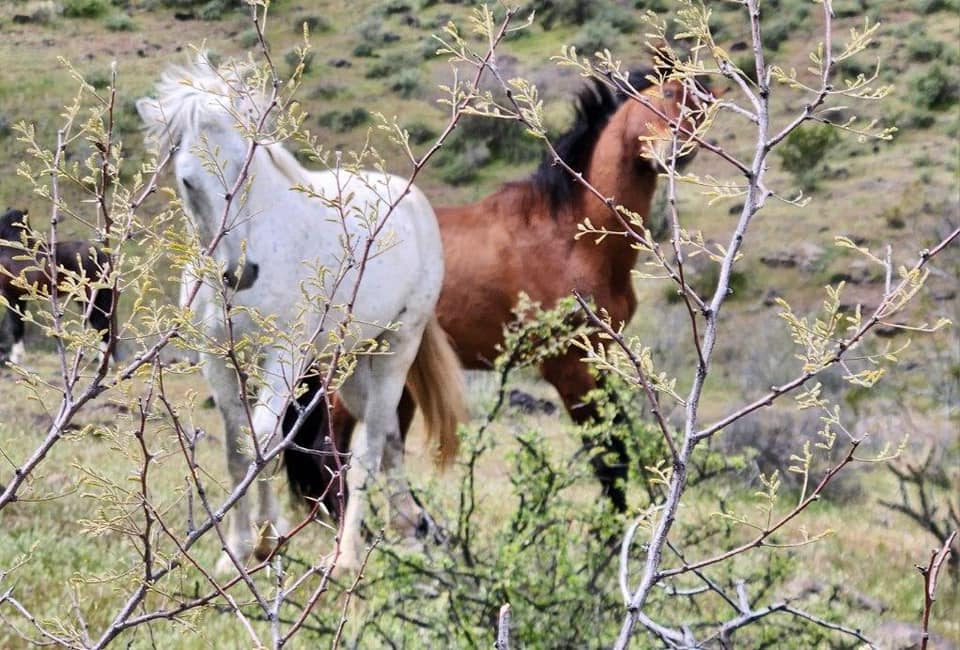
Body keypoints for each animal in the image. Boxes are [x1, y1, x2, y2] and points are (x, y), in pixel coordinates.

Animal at [136, 59, 466, 573]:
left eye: (247, 165)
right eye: (189, 180)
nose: (240, 272)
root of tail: (411, 198)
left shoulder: (285, 357)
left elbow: (265, 439)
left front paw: (266, 539)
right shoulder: (219, 361)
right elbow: (240, 447)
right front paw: (242, 548)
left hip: (396, 349)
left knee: (368, 448)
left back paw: (347, 556)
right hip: (353, 365)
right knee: (389, 438)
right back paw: (408, 526)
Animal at [288, 66, 712, 517]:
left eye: (700, 106)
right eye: (664, 93)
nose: (680, 148)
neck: (568, 235)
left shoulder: (599, 355)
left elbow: (618, 449)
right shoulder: (566, 364)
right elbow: (607, 459)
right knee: (328, 451)